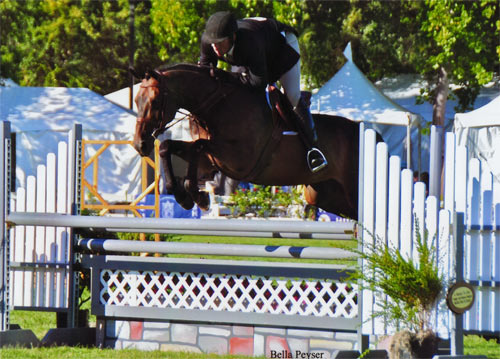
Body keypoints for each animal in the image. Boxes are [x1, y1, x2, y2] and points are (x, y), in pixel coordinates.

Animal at [131, 64, 362, 219]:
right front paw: (184, 195)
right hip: (325, 196)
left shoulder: (238, 161)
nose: (139, 145)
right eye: (136, 100)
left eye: (155, 102)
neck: (217, 105)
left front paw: (196, 195)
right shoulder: (211, 160)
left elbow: (197, 147)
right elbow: (168, 147)